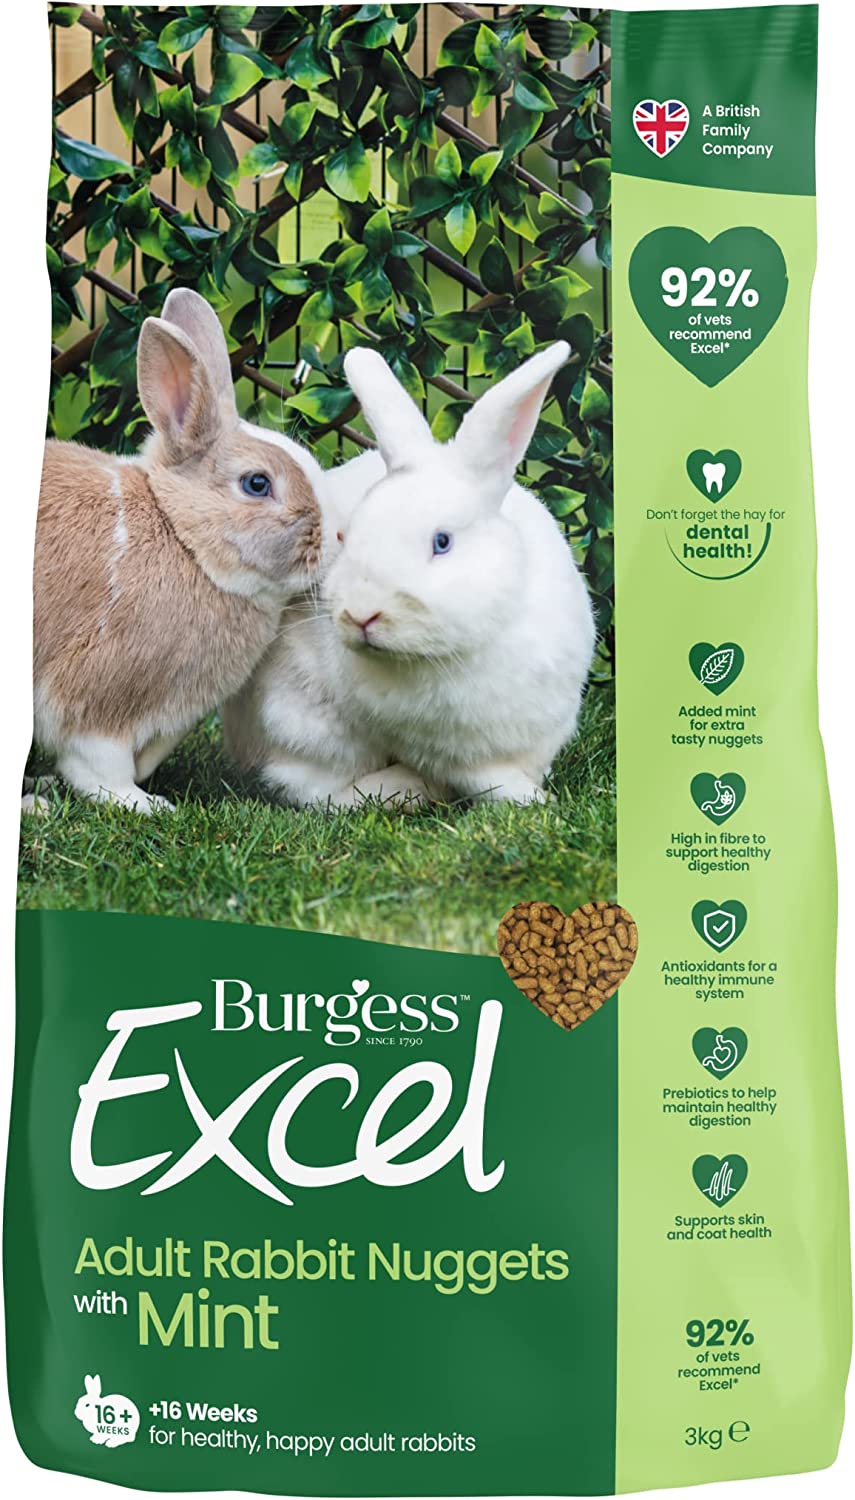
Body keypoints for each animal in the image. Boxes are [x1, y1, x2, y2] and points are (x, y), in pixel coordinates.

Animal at [27, 287, 323, 814]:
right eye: (257, 484)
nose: (336, 535)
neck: (183, 539)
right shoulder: (98, 693)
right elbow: (97, 764)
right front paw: (144, 805)